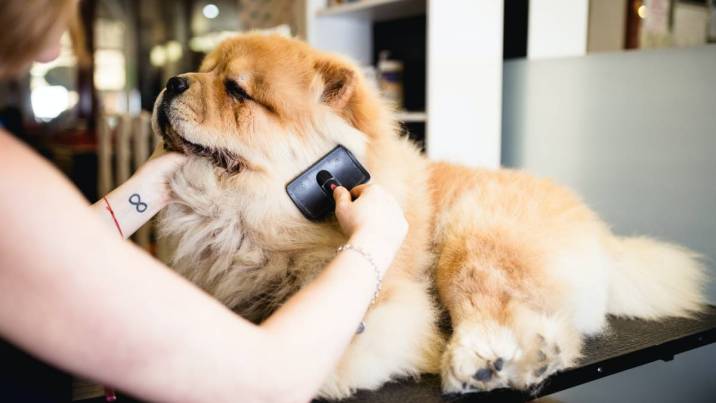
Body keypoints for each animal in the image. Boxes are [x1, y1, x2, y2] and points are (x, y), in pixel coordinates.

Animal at [154, 33, 708, 400]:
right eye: (204, 71)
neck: (251, 221)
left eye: (236, 90)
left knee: (491, 309)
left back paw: (477, 361)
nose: (171, 82)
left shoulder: (388, 302)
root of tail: (603, 236)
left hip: (470, 238)